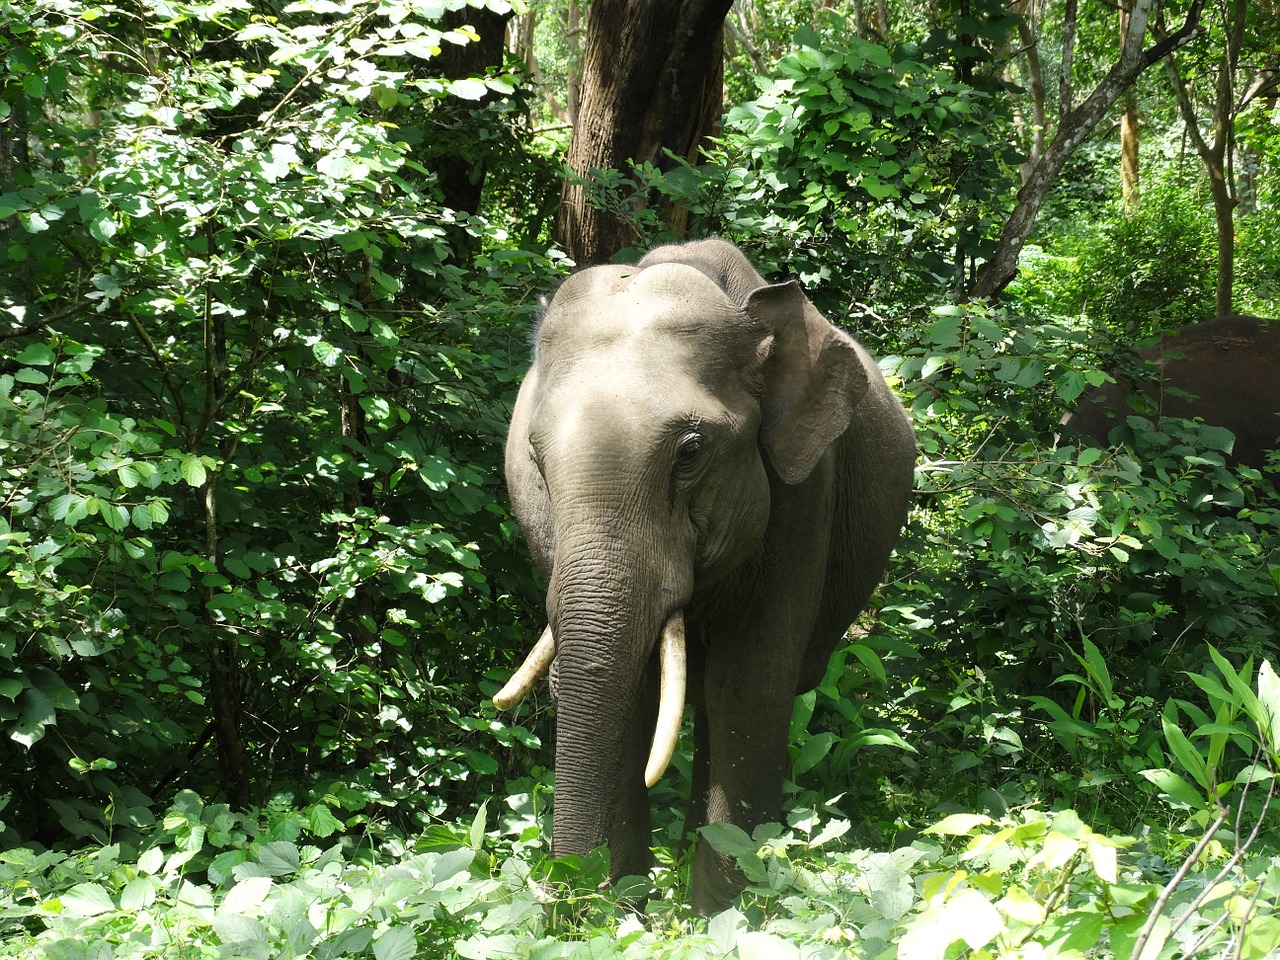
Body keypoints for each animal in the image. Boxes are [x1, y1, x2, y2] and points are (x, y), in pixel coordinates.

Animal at [491, 236, 921, 911]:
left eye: (690, 453)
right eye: (534, 456)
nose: (567, 897)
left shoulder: (805, 497)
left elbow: (749, 685)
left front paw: (722, 917)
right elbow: (633, 689)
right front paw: (625, 911)